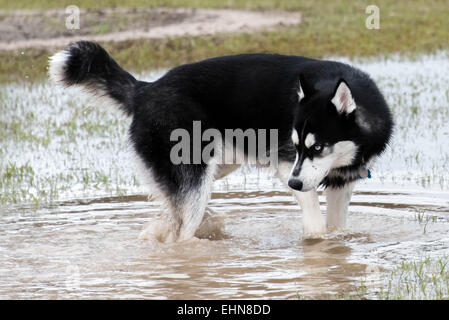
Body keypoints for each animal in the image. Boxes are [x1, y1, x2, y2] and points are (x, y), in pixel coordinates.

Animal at [50, 42, 392, 242]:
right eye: (296, 146)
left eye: (317, 147)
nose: (293, 184)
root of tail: (146, 89)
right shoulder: (287, 165)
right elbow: (316, 225)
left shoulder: (340, 183)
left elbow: (337, 227)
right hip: (196, 179)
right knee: (181, 232)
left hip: (217, 166)